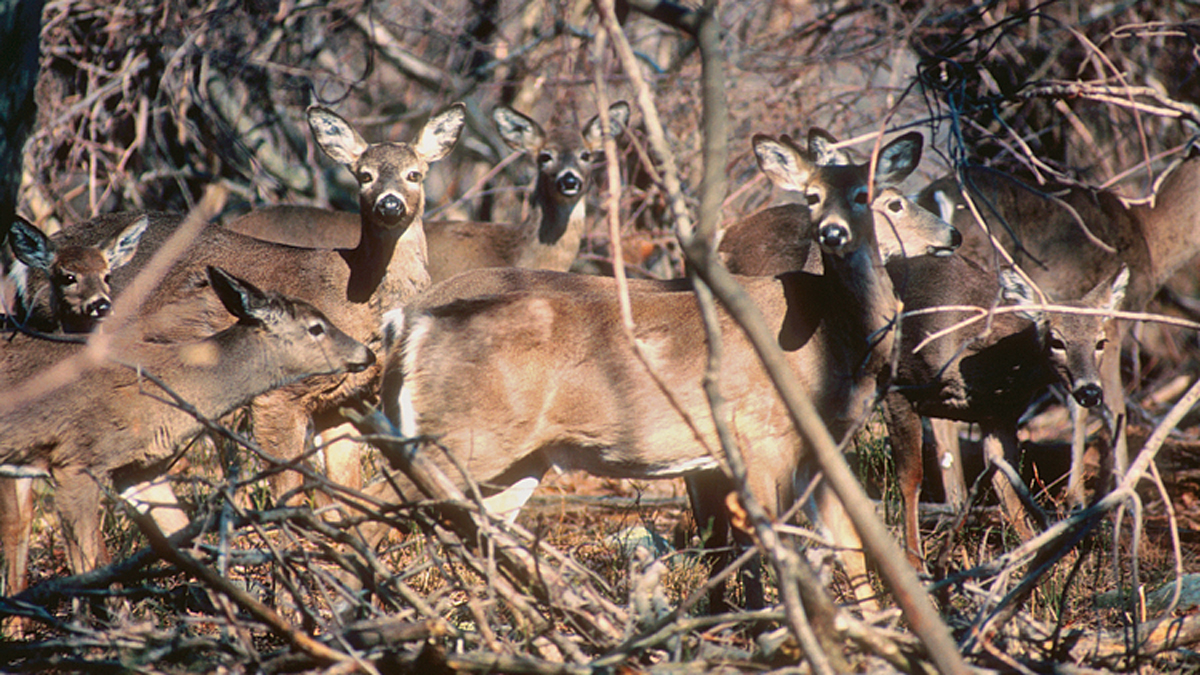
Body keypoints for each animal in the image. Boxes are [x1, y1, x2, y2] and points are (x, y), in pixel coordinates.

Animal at [0, 266, 374, 596]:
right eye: (316, 327)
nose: (367, 352)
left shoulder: (140, 468)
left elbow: (181, 539)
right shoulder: (75, 459)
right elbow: (87, 568)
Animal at [45, 104, 465, 502]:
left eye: (415, 174)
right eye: (364, 175)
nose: (389, 205)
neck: (357, 292)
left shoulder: (346, 400)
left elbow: (347, 485)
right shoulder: (277, 394)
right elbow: (288, 484)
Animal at [365, 130, 957, 611]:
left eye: (866, 196)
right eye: (812, 197)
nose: (833, 233)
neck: (832, 335)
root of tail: (407, 324)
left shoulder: (818, 449)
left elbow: (848, 547)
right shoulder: (760, 436)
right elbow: (772, 546)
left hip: (513, 458)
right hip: (456, 436)